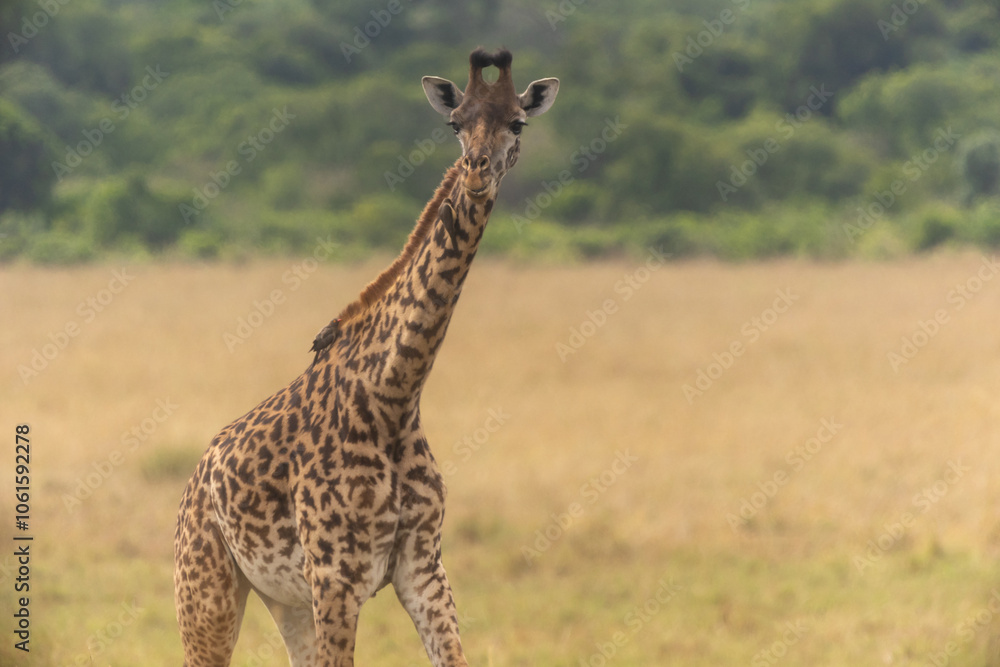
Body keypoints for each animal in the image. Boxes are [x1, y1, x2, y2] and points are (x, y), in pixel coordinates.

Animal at [173, 48, 558, 667]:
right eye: (454, 123)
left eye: (517, 123)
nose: (477, 173)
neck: (395, 396)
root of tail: (193, 482)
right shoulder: (336, 574)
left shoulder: (423, 566)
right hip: (205, 586)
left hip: (283, 598)